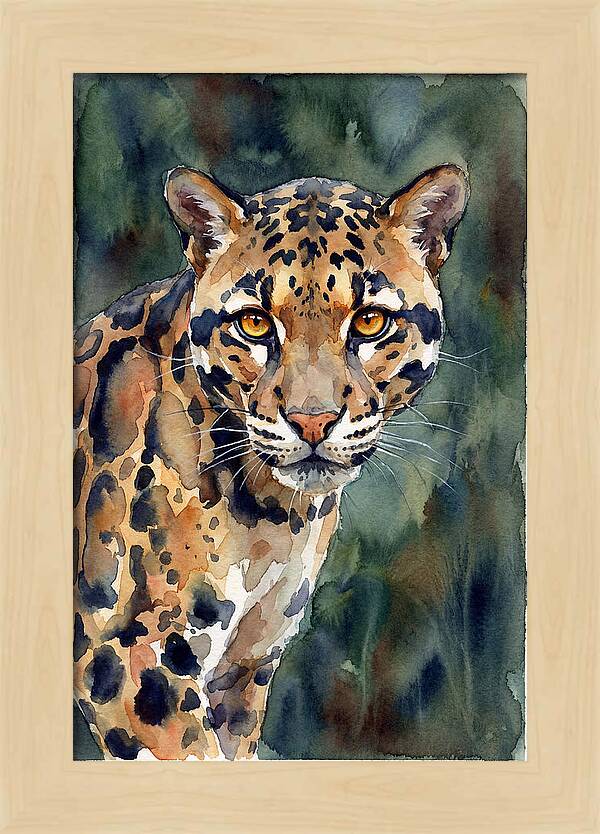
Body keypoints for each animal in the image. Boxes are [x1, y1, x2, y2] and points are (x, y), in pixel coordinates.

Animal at [74, 163, 469, 760]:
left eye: (371, 322)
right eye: (255, 324)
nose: (313, 421)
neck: (271, 515)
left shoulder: (243, 669)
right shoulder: (130, 657)